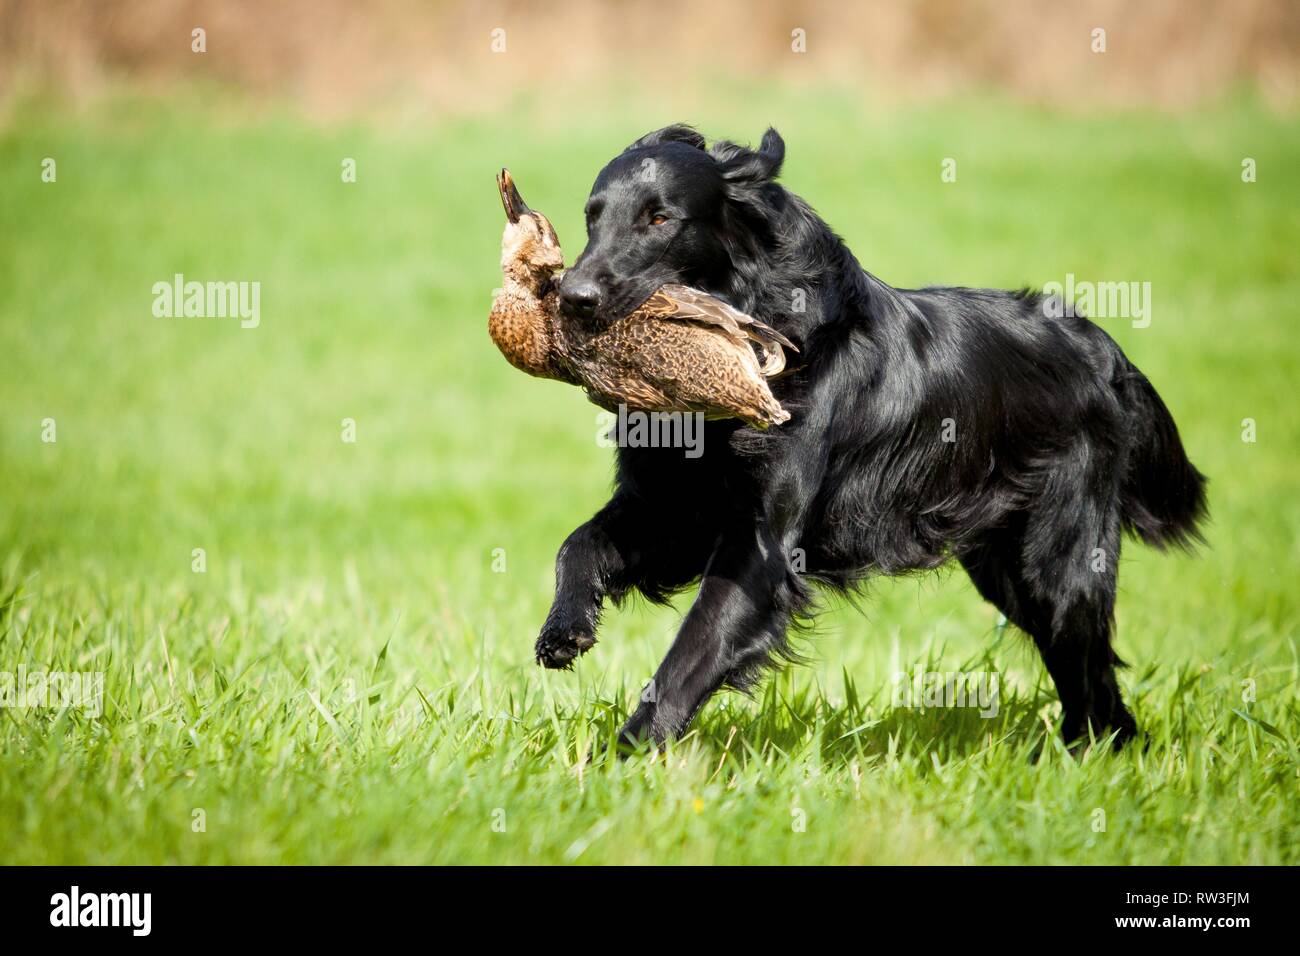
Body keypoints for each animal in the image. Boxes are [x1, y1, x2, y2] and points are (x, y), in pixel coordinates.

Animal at [533, 125, 1201, 749]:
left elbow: (690, 656)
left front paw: (622, 760)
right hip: (1005, 568)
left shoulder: (760, 550)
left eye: (660, 218)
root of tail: (1101, 347)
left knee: (1095, 675)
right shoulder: (672, 508)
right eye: (592, 216)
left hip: (1058, 568)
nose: (573, 298)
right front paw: (564, 629)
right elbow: (577, 544)